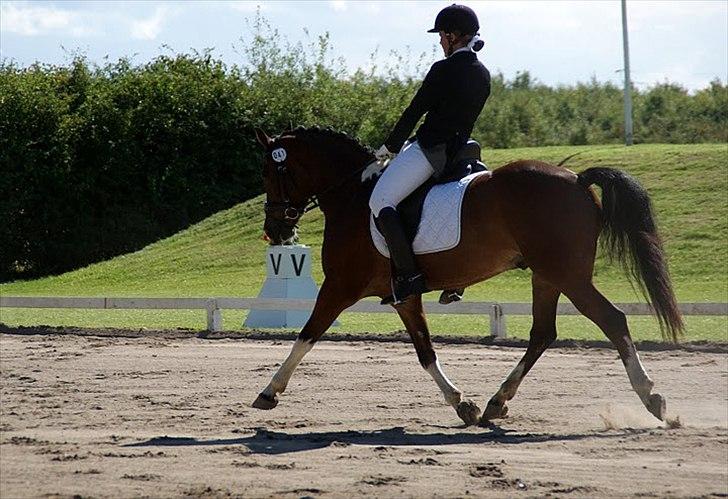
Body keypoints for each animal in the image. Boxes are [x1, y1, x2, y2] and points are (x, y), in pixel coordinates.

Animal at [250, 126, 684, 426]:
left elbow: (306, 335)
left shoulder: (340, 285)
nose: (274, 229)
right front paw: (463, 404)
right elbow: (425, 351)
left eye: (271, 172)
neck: (352, 196)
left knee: (612, 320)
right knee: (543, 333)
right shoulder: (403, 295)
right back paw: (496, 402)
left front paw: (269, 391)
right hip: (547, 276)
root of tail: (576, 179)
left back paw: (652, 398)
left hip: (568, 276)